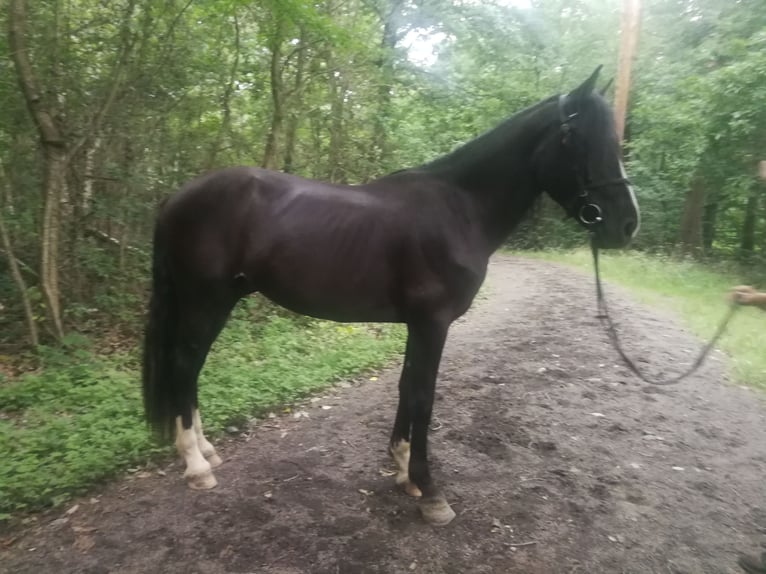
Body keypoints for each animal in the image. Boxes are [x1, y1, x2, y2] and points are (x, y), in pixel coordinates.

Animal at [144, 67, 640, 528]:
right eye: (578, 138)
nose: (627, 223)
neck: (459, 209)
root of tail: (174, 198)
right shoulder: (432, 322)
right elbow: (423, 395)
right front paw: (430, 489)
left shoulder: (418, 324)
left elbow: (407, 386)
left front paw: (403, 470)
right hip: (205, 300)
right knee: (184, 366)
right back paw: (196, 465)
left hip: (218, 301)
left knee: (191, 369)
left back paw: (206, 451)